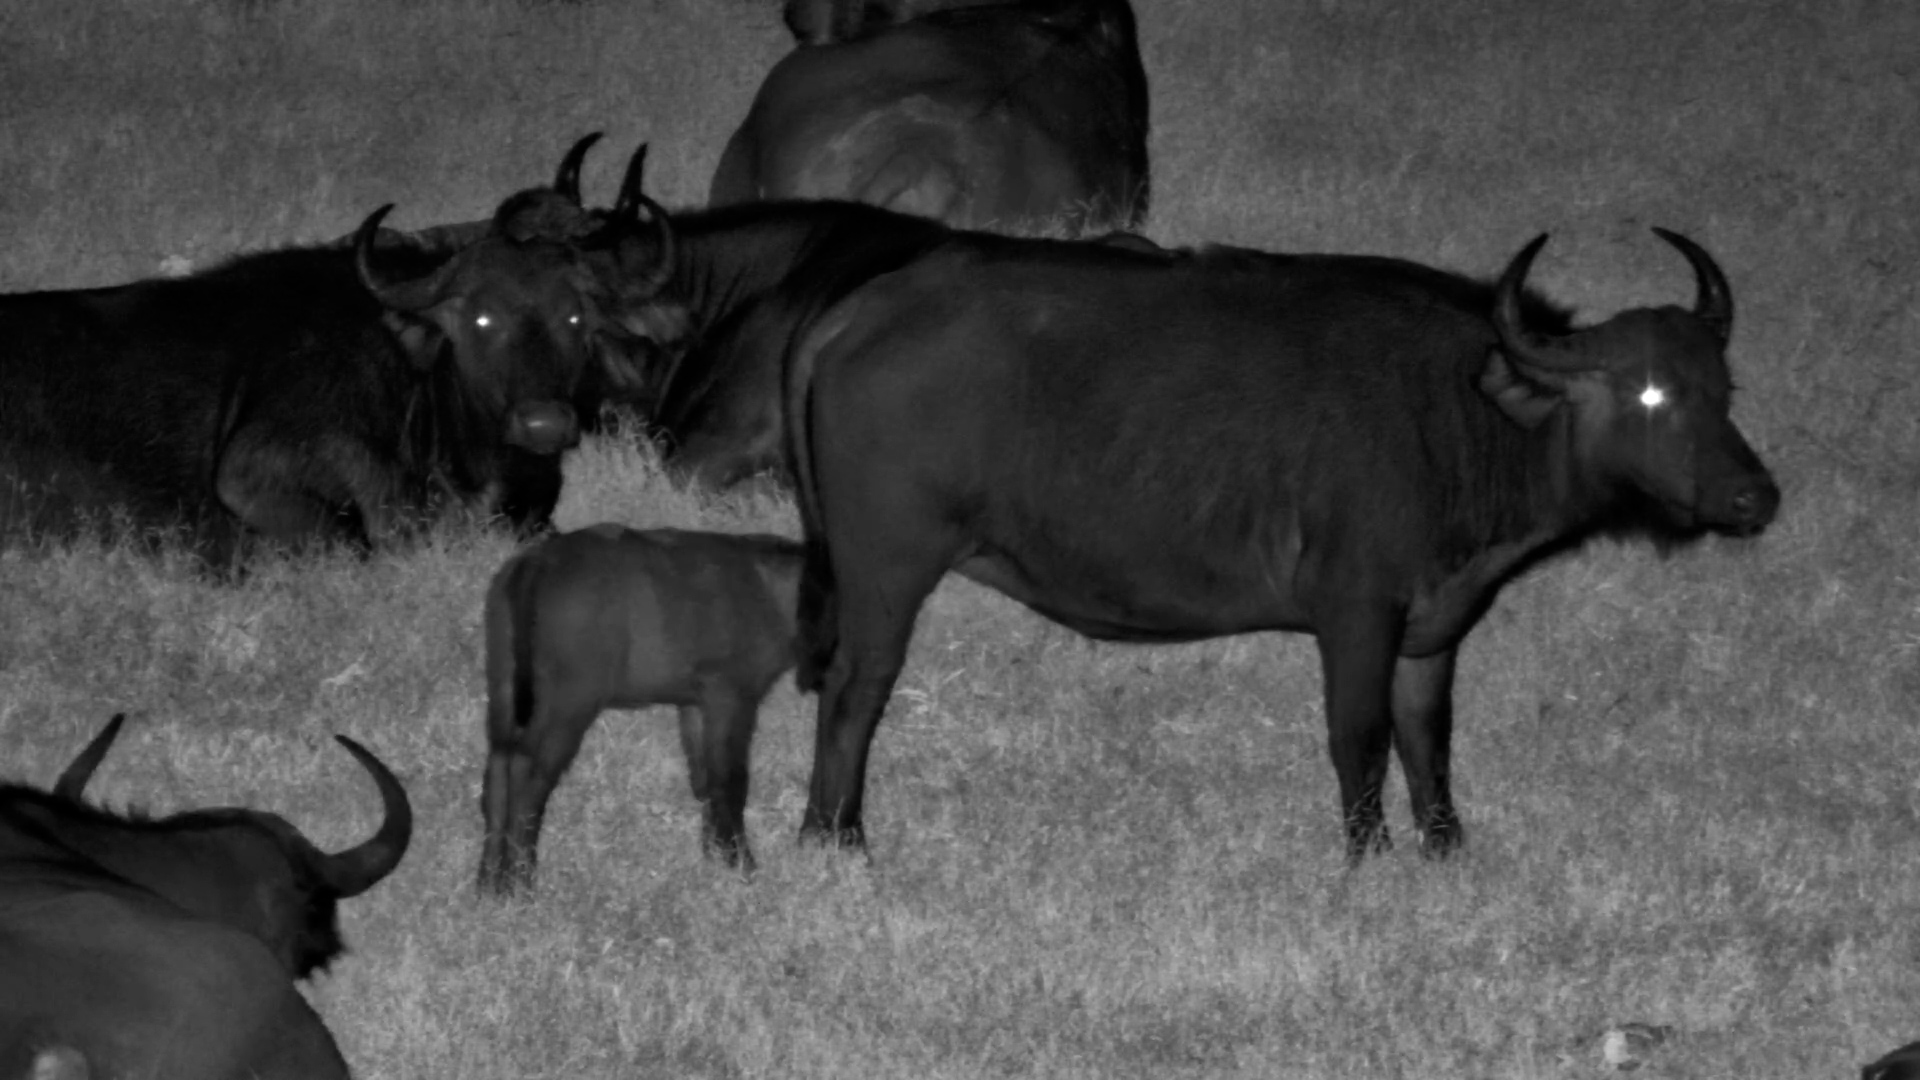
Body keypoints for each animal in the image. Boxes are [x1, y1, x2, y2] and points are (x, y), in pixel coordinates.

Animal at [478, 525, 804, 892]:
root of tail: (537, 561)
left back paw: (489, 883)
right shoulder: (733, 696)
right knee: (529, 778)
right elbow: (730, 781)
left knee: (498, 772)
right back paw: (521, 882)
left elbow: (704, 780)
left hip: (505, 690)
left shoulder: (694, 702)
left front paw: (713, 861)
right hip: (568, 703)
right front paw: (742, 864)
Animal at [754, 226, 1780, 864]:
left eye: (1723, 387)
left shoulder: (1432, 631)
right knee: (855, 693)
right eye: (1649, 393)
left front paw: (1445, 849)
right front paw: (1368, 857)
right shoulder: (1356, 615)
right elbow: (1359, 737)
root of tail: (871, 304)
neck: (1459, 413)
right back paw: (835, 838)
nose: (1755, 496)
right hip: (886, 571)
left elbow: (1429, 738)